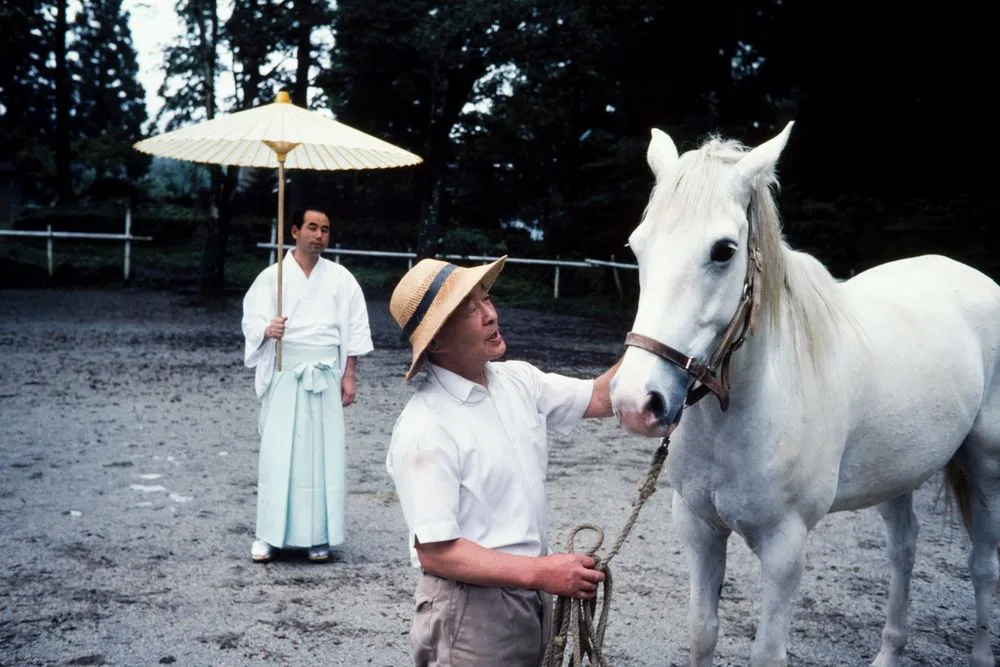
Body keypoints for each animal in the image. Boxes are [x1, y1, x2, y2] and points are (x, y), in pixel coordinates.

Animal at [608, 121, 1000, 667]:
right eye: (636, 247)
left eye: (724, 250)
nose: (635, 403)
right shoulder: (699, 528)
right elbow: (702, 632)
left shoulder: (784, 548)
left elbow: (768, 653)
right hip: (897, 472)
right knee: (904, 549)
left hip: (986, 465)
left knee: (983, 563)